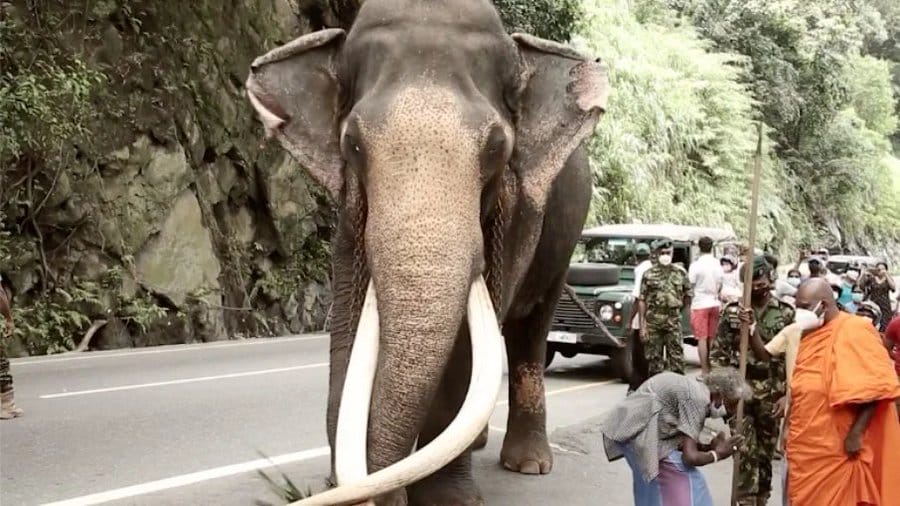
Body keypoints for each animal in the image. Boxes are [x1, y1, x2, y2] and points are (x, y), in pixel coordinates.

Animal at [246, 0, 608, 506]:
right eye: (352, 143)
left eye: (497, 147)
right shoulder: (348, 211)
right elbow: (347, 333)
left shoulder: (517, 214)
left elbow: (466, 348)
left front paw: (447, 499)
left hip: (565, 239)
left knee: (530, 332)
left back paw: (529, 464)